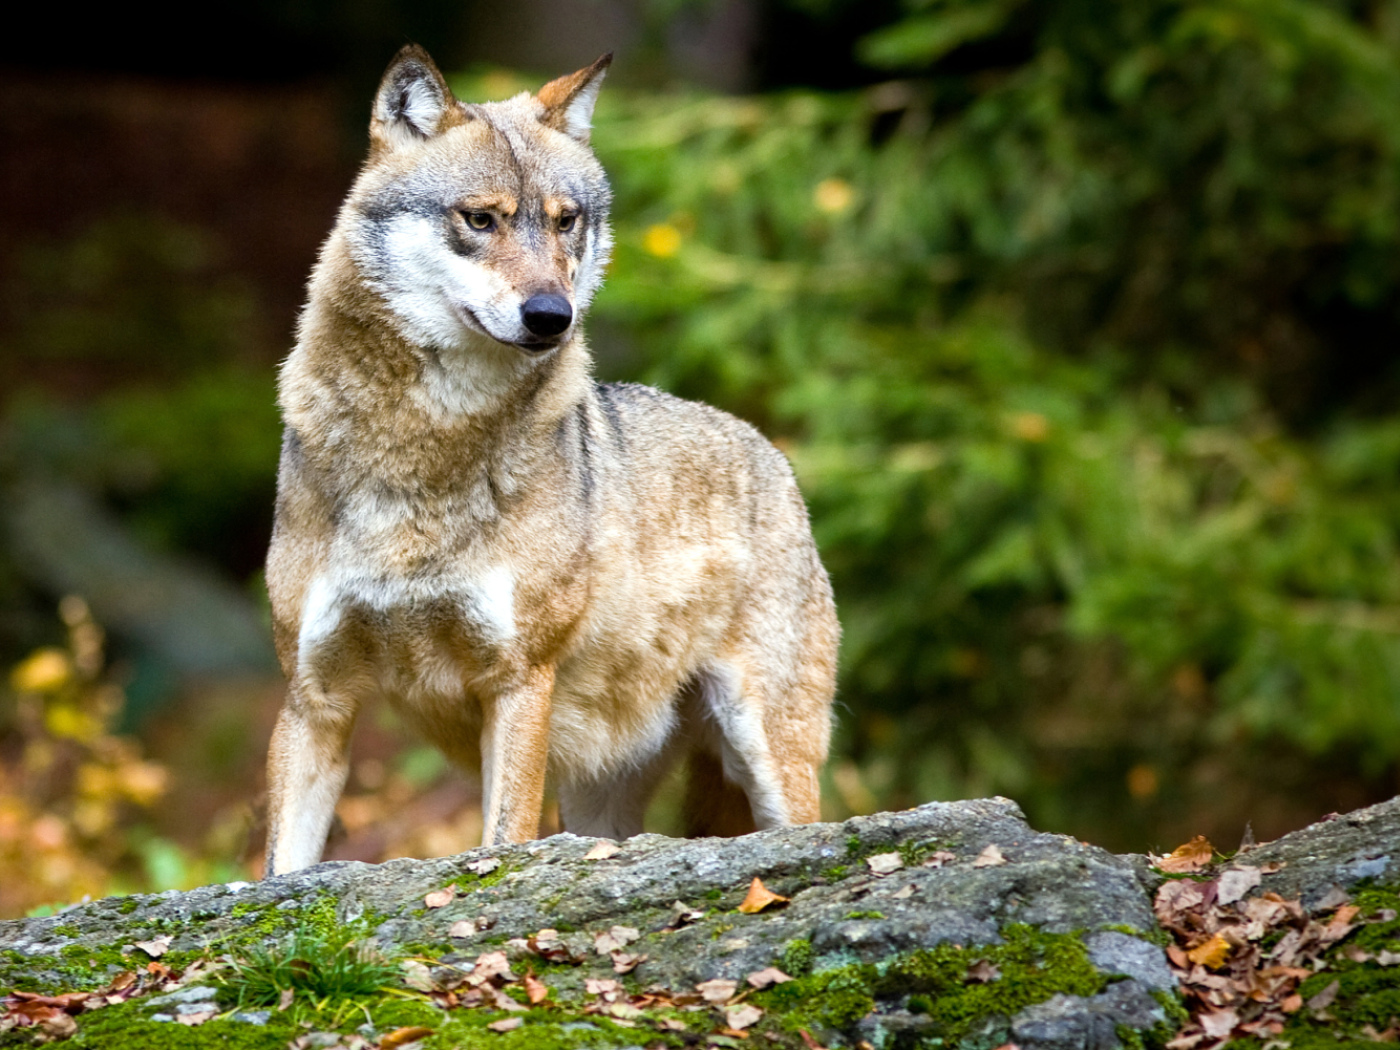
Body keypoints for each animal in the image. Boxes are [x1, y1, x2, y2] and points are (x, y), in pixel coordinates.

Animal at [262, 45, 839, 876]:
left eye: (567, 222)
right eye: (481, 218)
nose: (550, 316)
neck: (422, 448)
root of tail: (772, 453)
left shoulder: (518, 681)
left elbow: (503, 840)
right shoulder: (314, 699)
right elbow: (280, 868)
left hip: (768, 754)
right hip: (601, 800)